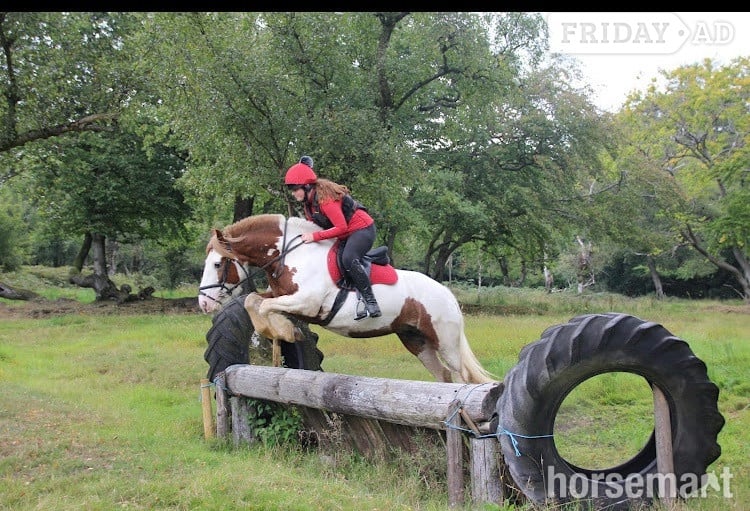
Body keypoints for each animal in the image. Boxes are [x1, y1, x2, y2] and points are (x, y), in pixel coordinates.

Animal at [198, 214, 496, 384]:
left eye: (217, 264)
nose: (203, 303)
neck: (290, 254)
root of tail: (447, 294)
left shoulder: (307, 302)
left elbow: (265, 306)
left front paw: (283, 330)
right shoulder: (284, 296)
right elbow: (254, 301)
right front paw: (278, 330)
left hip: (445, 341)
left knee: (462, 375)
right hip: (416, 340)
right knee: (443, 374)